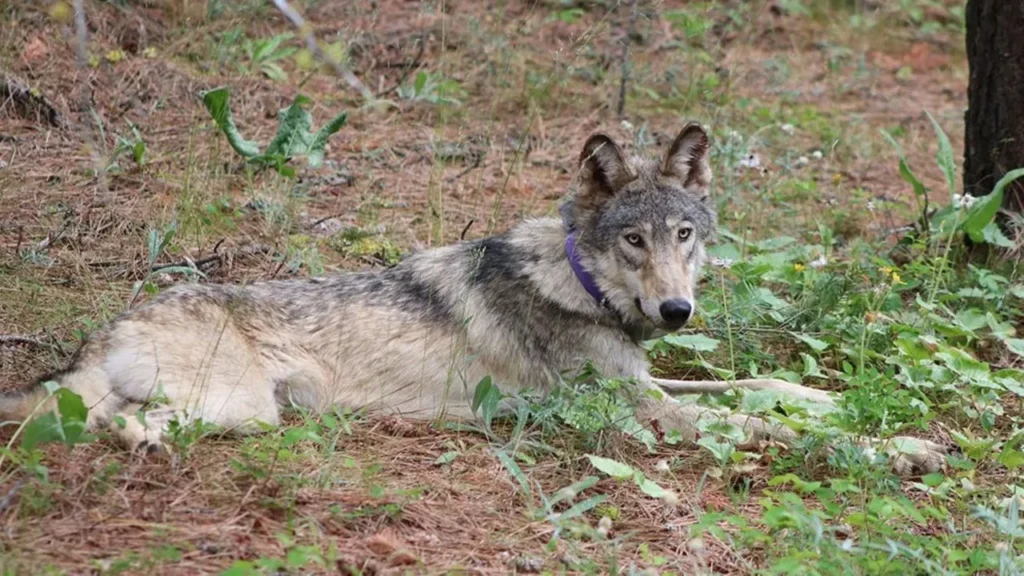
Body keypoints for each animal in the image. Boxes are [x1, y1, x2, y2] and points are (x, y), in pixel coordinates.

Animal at [0, 124, 946, 475]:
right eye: (633, 241)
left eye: (685, 234)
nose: (677, 313)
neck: (579, 283)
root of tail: (110, 325)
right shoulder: (637, 413)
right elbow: (752, 425)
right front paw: (901, 446)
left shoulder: (644, 384)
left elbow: (760, 388)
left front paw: (832, 401)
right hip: (240, 409)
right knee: (112, 425)